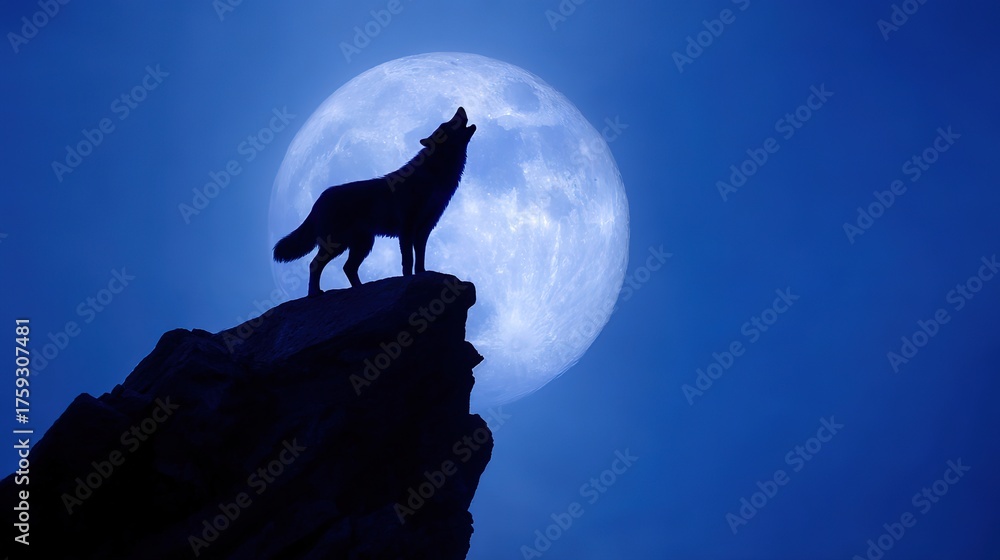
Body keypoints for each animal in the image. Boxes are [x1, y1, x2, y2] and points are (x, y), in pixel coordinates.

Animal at [273, 107, 476, 296]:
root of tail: (319, 199)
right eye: (447, 124)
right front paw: (408, 280)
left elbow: (420, 261)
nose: (460, 108)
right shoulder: (407, 228)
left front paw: (421, 276)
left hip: (363, 244)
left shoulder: (424, 230)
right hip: (337, 244)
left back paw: (360, 288)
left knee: (348, 267)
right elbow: (408, 261)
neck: (434, 174)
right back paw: (314, 293)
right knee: (315, 265)